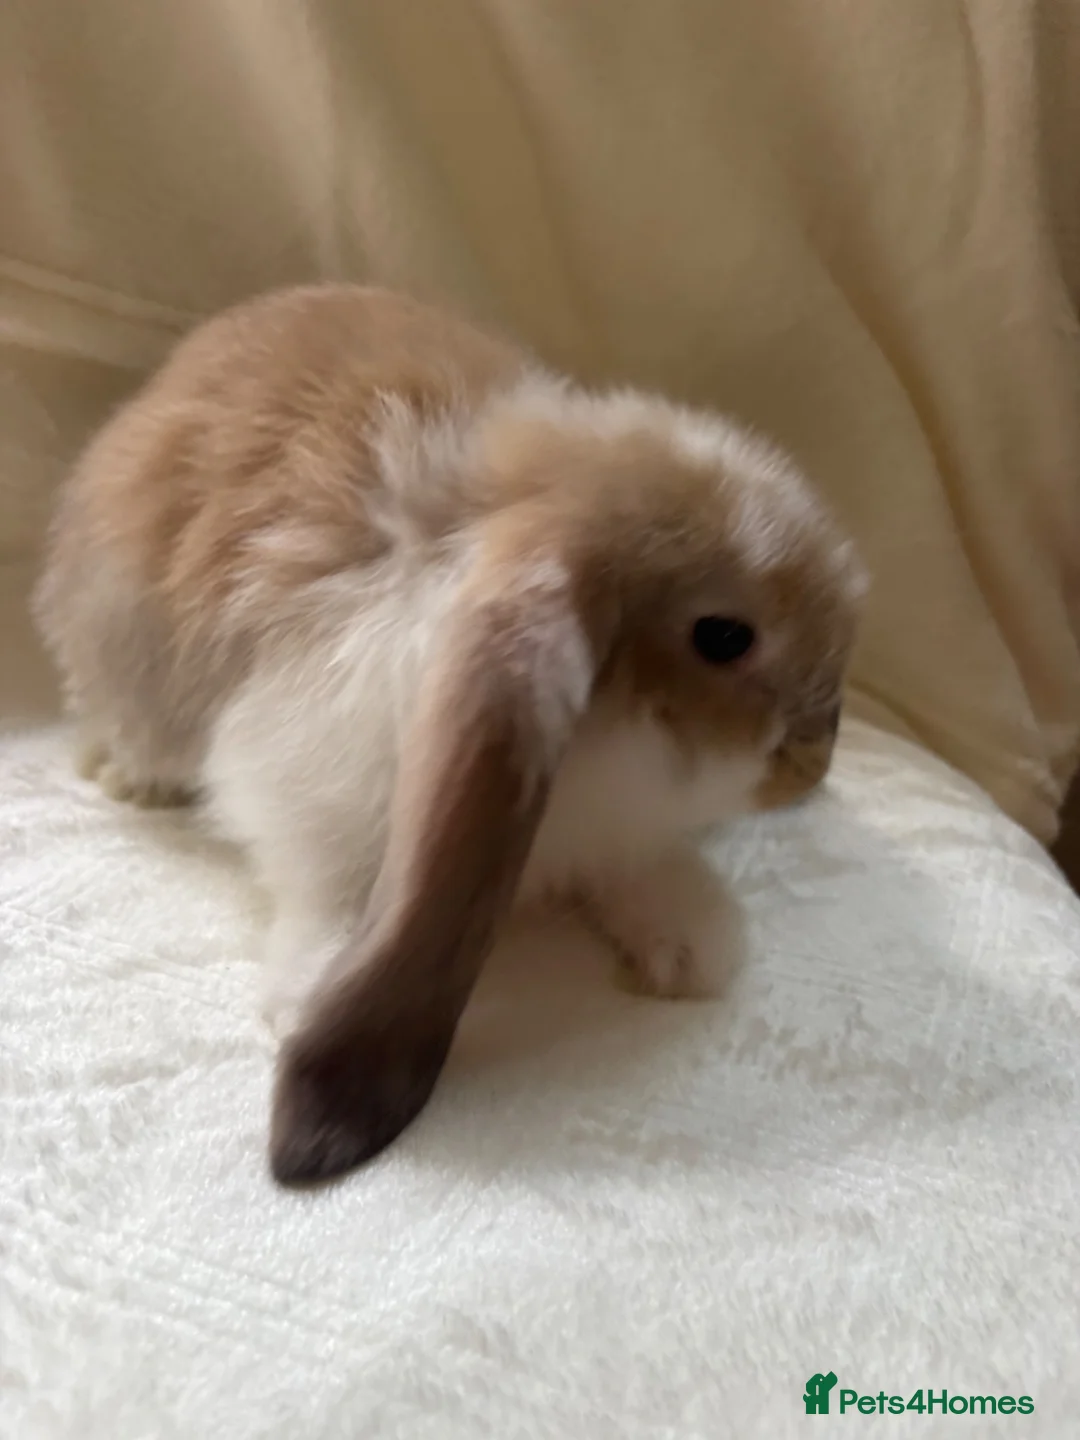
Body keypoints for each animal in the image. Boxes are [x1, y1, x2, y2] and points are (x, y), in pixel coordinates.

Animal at [34, 283, 867, 1185]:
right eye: (723, 636)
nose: (815, 758)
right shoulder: (309, 784)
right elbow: (336, 887)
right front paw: (312, 991)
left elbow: (630, 864)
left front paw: (692, 941)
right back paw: (133, 776)